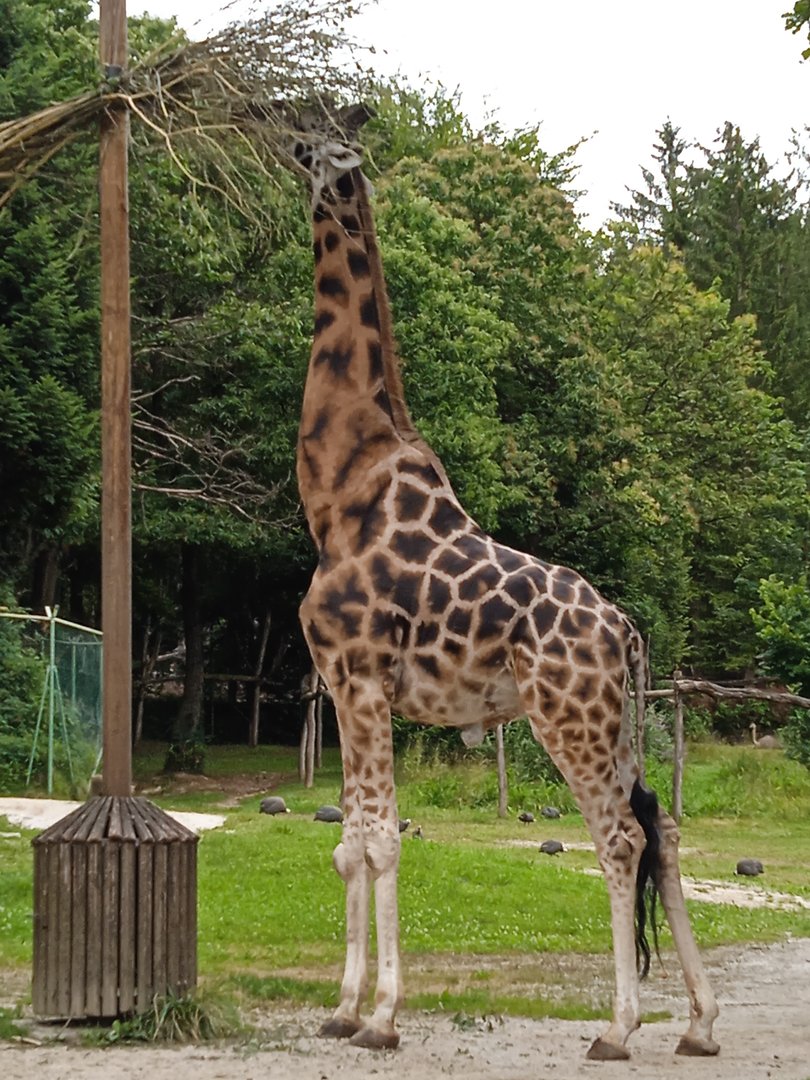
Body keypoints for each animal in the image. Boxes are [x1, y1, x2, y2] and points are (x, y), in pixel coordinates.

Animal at [289, 104, 719, 1060]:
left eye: (316, 137)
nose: (280, 139)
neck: (338, 495)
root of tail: (627, 630)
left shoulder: (362, 679)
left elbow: (381, 842)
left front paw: (382, 1018)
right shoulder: (340, 685)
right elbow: (346, 843)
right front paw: (342, 1009)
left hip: (569, 720)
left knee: (619, 839)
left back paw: (620, 1027)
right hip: (615, 724)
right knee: (664, 830)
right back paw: (700, 1026)